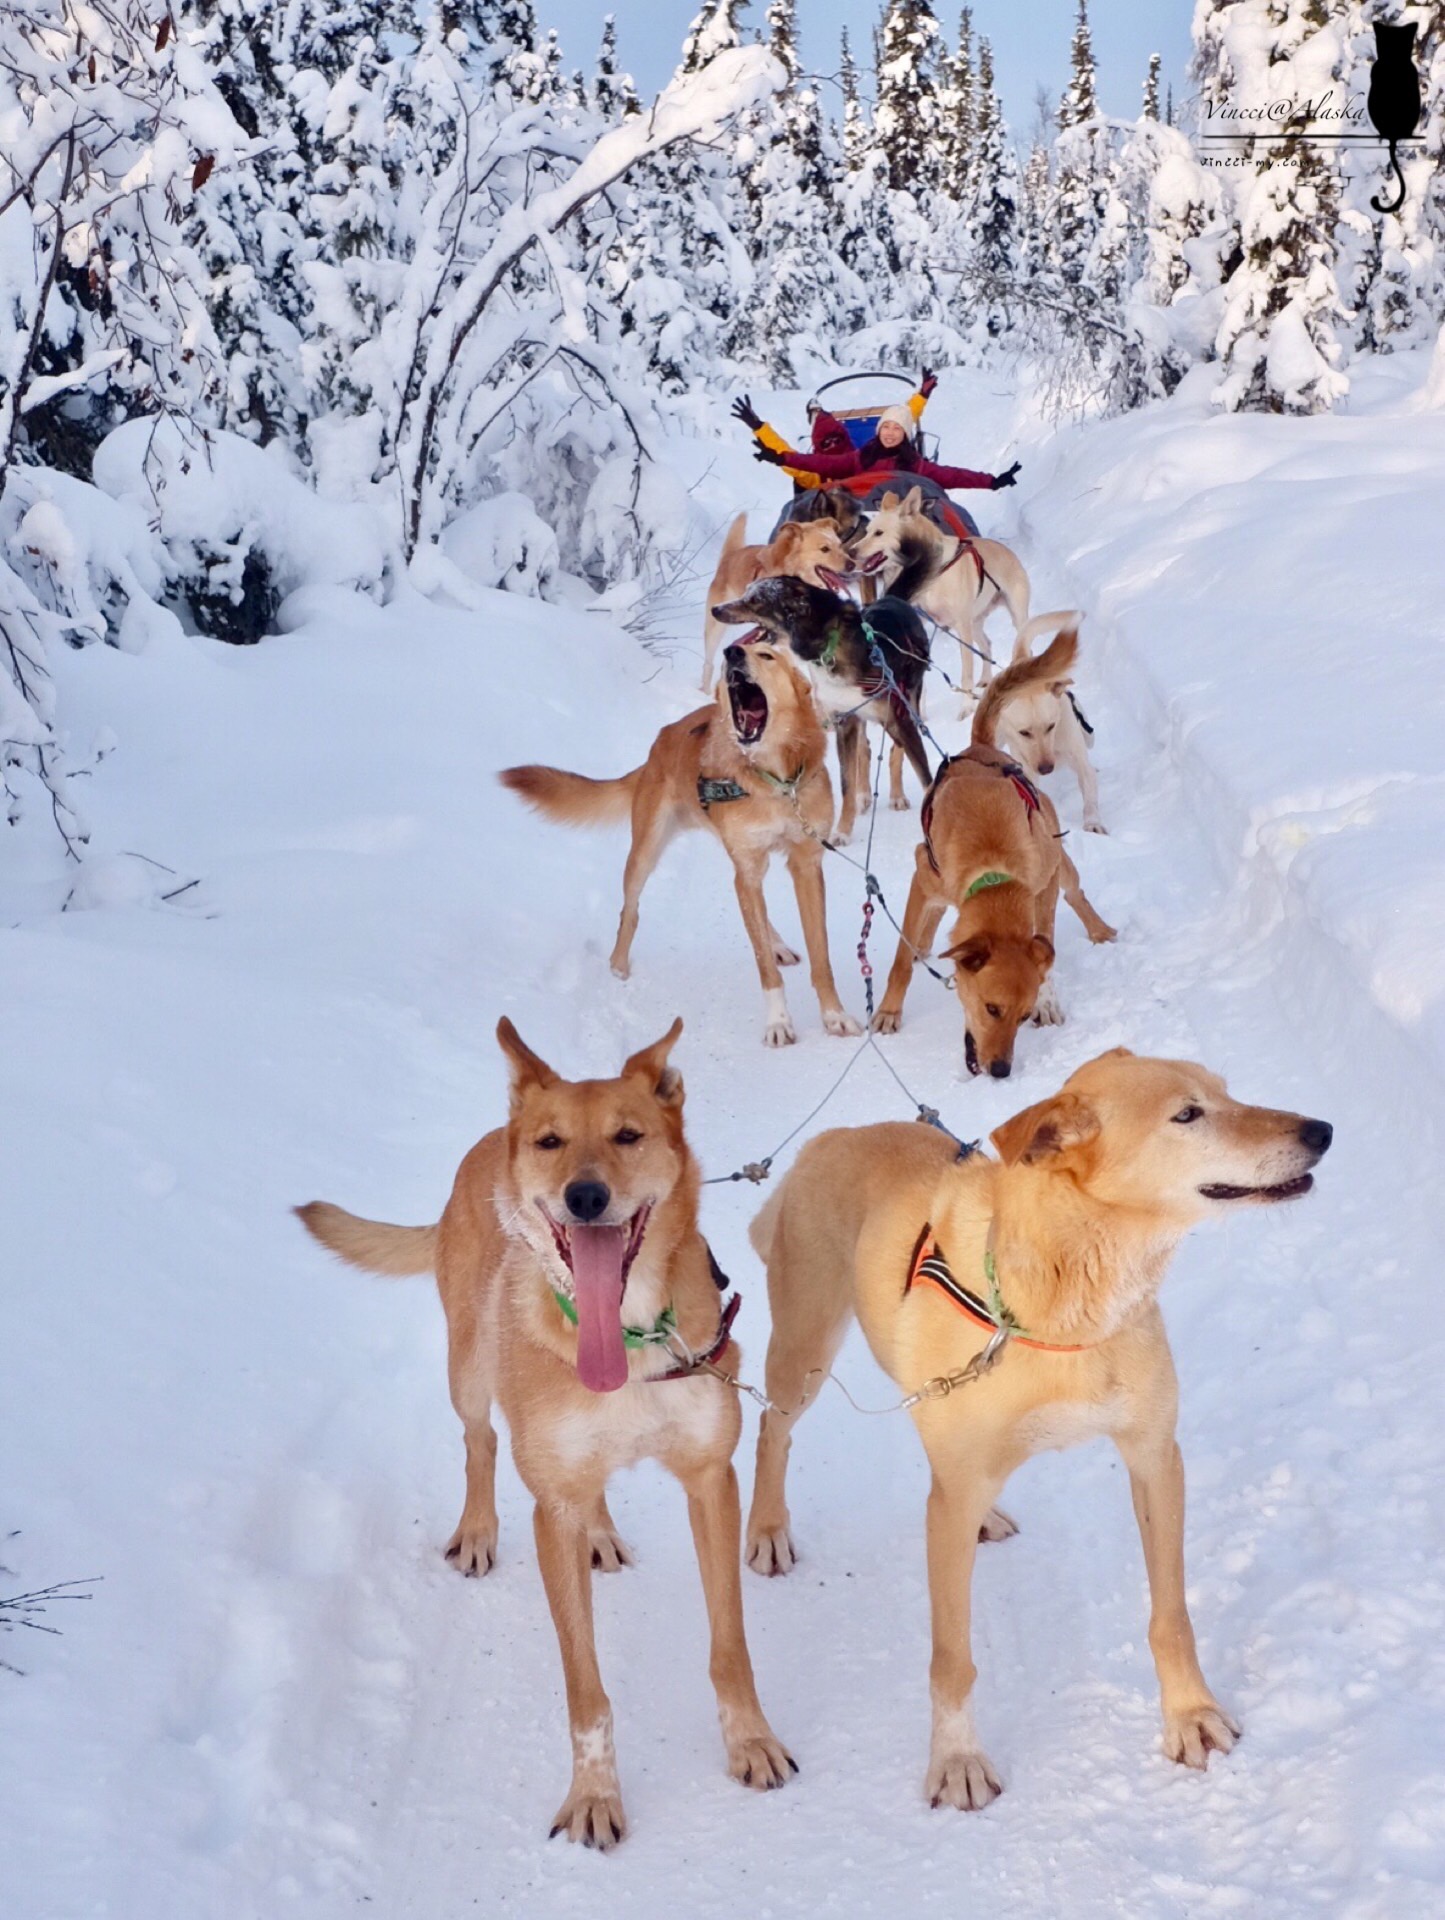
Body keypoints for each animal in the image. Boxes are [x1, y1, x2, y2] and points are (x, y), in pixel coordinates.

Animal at [291, 1021, 790, 1843]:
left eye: (628, 1135)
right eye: (552, 1142)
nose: (584, 1197)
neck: (626, 1337)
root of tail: (491, 1137)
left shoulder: (710, 1480)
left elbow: (731, 1647)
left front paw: (751, 1742)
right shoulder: (549, 1509)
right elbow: (585, 1688)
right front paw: (593, 1796)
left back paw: (601, 1532)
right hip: (468, 1370)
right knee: (480, 1442)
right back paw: (478, 1530)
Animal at [502, 633, 855, 1052]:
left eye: (767, 656)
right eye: (738, 653)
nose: (732, 652)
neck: (777, 784)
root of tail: (662, 739)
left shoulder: (806, 864)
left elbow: (822, 957)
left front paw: (833, 1015)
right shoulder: (749, 866)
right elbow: (764, 967)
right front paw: (778, 1023)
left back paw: (778, 944)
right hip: (646, 853)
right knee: (630, 911)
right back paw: (618, 967)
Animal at [706, 568, 928, 840]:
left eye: (755, 599)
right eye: (746, 592)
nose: (715, 609)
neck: (830, 647)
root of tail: (894, 599)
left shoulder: (900, 719)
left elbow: (927, 779)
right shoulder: (844, 720)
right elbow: (846, 784)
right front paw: (843, 831)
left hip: (907, 706)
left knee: (897, 750)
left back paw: (897, 796)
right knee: (864, 749)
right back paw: (864, 795)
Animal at [744, 1052, 1327, 1812]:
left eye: (1228, 1093)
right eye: (1187, 1114)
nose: (1320, 1130)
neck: (1064, 1304)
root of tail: (832, 1136)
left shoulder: (1153, 1458)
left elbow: (1170, 1615)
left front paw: (1189, 1713)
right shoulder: (954, 1497)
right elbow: (951, 1658)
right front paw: (956, 1758)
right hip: (804, 1355)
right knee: (771, 1429)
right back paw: (767, 1527)